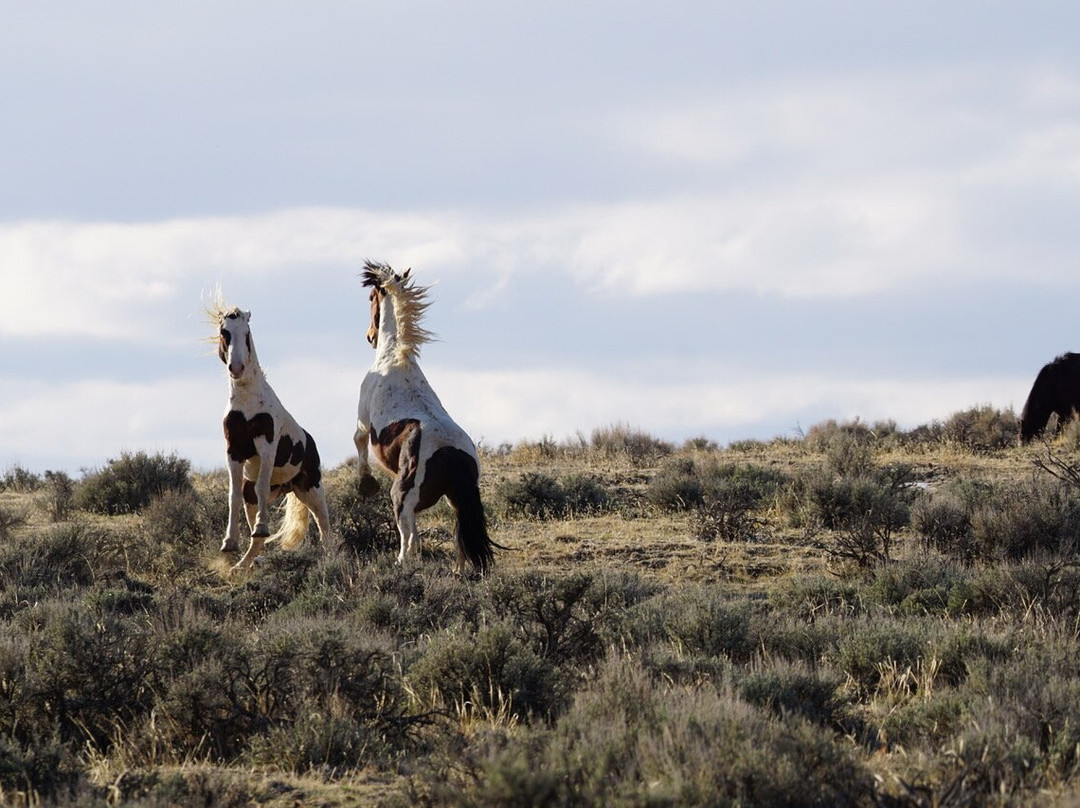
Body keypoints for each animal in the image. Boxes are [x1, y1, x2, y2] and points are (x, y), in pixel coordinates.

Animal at [209, 301, 332, 571]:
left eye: (246, 334)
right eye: (225, 332)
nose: (236, 368)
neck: (248, 403)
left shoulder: (266, 446)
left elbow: (263, 486)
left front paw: (261, 526)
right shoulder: (233, 451)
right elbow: (232, 495)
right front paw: (229, 543)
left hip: (311, 488)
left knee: (324, 524)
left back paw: (330, 558)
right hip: (255, 496)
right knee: (257, 541)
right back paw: (240, 567)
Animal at [353, 261, 499, 572]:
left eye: (371, 297)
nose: (370, 337)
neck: (394, 358)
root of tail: (452, 454)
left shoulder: (362, 420)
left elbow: (359, 444)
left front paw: (366, 485)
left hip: (403, 495)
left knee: (408, 535)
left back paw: (401, 563)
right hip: (457, 499)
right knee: (459, 535)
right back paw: (459, 570)